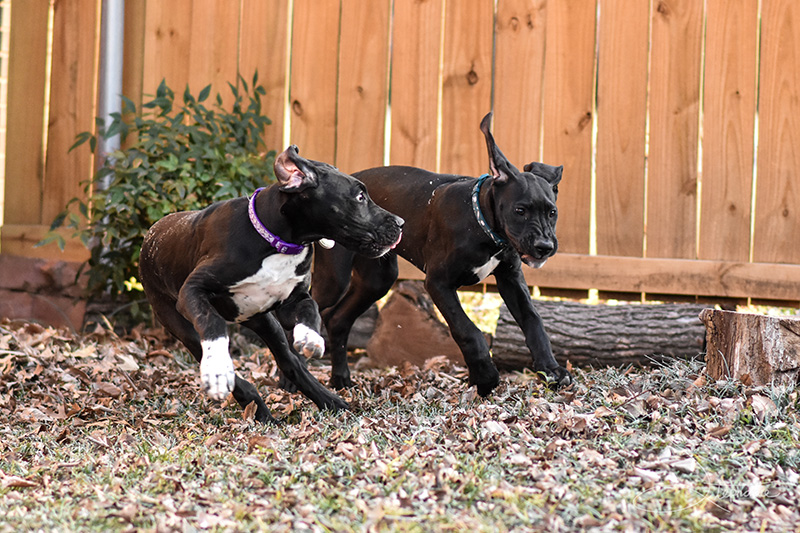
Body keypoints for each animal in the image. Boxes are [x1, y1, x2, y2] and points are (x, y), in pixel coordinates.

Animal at [139, 143, 406, 422]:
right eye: (360, 197)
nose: (401, 223)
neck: (277, 242)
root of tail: (152, 233)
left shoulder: (292, 302)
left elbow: (311, 309)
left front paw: (310, 336)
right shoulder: (193, 290)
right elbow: (211, 322)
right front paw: (217, 368)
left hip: (264, 322)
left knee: (290, 362)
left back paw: (329, 401)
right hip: (177, 322)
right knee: (218, 356)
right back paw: (253, 401)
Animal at [310, 112, 568, 394]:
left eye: (552, 212)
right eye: (520, 210)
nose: (545, 247)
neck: (482, 224)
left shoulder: (510, 280)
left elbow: (534, 322)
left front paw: (551, 370)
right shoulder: (438, 283)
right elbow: (468, 331)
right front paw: (486, 377)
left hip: (377, 279)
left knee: (338, 319)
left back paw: (340, 379)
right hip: (334, 278)